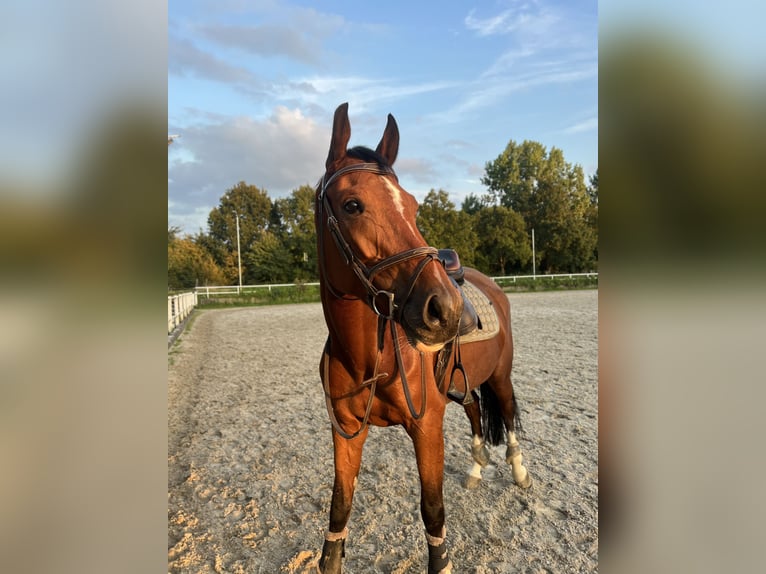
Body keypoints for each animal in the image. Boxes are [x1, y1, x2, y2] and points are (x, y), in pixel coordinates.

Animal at [314, 103, 532, 574]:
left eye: (413, 207)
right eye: (352, 204)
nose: (446, 311)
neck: (370, 360)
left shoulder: (427, 427)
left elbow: (433, 513)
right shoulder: (346, 432)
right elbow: (339, 511)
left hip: (500, 376)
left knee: (506, 415)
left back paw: (520, 473)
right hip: (463, 385)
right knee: (475, 413)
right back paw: (475, 471)